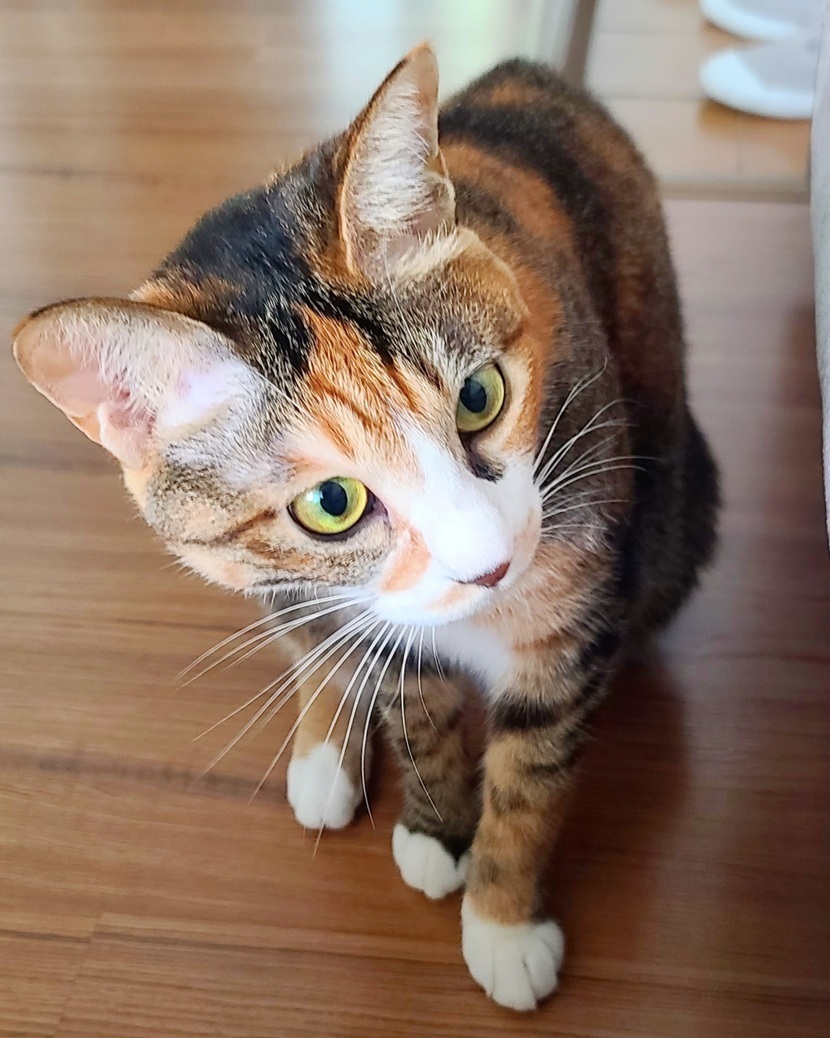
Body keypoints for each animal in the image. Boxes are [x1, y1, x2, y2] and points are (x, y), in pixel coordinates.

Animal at [12, 45, 719, 1011]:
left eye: (479, 395)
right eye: (332, 505)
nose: (489, 568)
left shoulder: (577, 595)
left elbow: (532, 776)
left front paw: (501, 916)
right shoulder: (366, 609)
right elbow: (412, 703)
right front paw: (439, 828)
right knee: (316, 645)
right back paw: (324, 744)